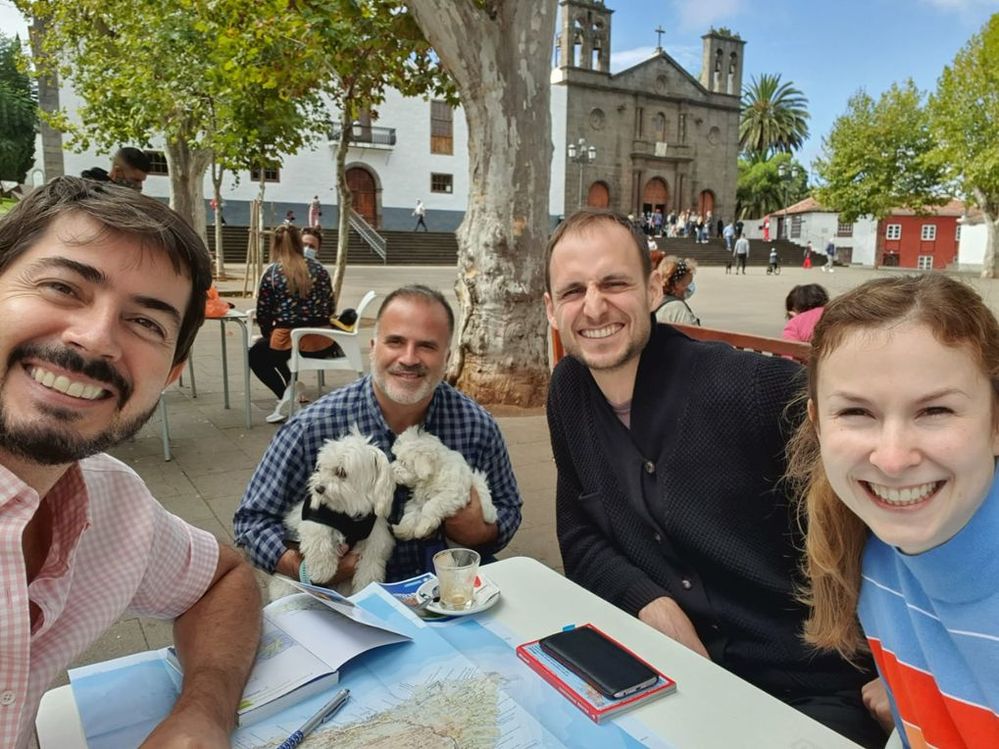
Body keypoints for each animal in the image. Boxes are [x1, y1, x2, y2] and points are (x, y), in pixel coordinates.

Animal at [276, 426, 400, 596]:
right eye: (321, 468)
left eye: (341, 472)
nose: (318, 488)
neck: (348, 514)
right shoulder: (316, 519)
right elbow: (319, 539)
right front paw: (321, 571)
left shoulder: (376, 539)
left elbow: (370, 566)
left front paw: (365, 589)